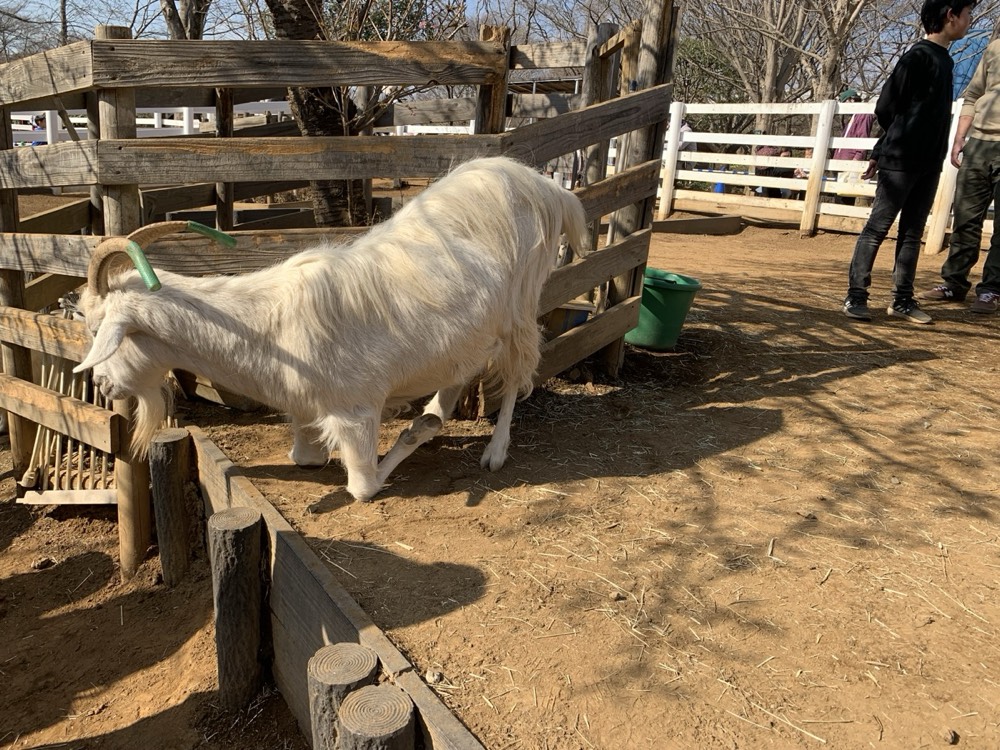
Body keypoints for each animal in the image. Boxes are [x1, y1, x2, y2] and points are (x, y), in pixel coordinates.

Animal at [73, 156, 588, 501]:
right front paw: (423, 420)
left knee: (517, 375)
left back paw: (493, 450)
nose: (101, 384)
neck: (267, 329)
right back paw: (439, 406)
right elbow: (303, 459)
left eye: (101, 330)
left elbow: (363, 487)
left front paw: (415, 430)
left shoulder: (355, 412)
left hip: (520, 309)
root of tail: (542, 186)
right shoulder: (305, 405)